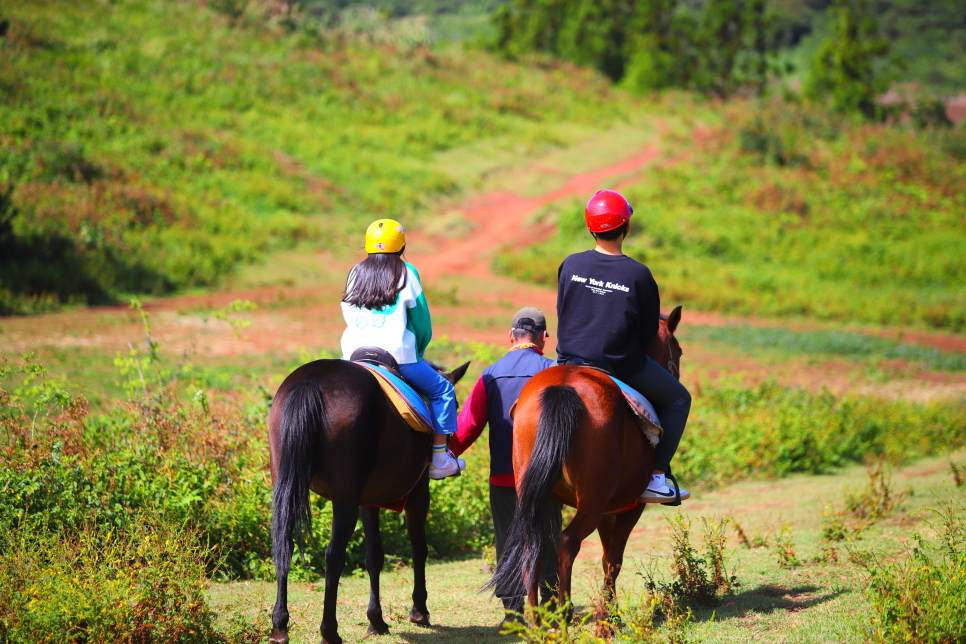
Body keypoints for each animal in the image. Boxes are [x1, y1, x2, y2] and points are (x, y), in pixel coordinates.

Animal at [270, 358, 470, 644]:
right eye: (455, 406)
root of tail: (311, 380)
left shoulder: (367, 499)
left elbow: (374, 555)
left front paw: (376, 620)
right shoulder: (419, 492)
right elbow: (419, 548)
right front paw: (419, 611)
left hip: (286, 483)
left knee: (282, 547)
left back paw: (279, 626)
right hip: (345, 497)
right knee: (333, 556)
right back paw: (329, 631)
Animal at [488, 304, 684, 612]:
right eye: (678, 351)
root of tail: (564, 386)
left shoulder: (608, 508)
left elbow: (606, 558)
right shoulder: (630, 505)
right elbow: (614, 559)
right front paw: (609, 615)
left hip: (534, 491)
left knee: (533, 544)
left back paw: (537, 618)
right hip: (594, 498)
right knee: (568, 542)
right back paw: (565, 613)